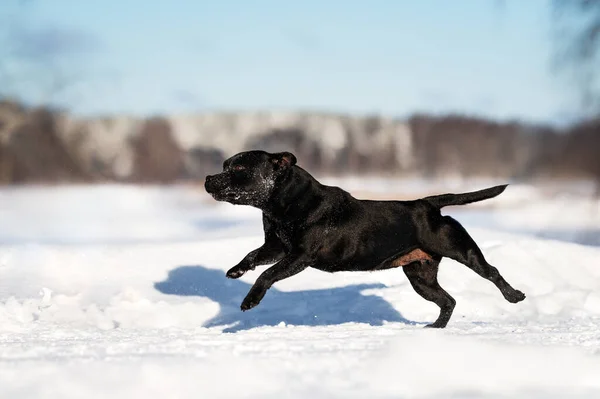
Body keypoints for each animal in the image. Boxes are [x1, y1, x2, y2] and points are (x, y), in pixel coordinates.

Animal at [205, 150, 524, 328]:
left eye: (239, 169)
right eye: (224, 166)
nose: (208, 178)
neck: (284, 203)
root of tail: (428, 204)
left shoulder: (299, 256)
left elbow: (267, 275)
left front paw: (250, 301)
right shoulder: (276, 246)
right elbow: (252, 256)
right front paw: (237, 270)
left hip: (463, 251)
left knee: (492, 272)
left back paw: (514, 296)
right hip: (420, 278)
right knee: (448, 301)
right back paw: (435, 329)